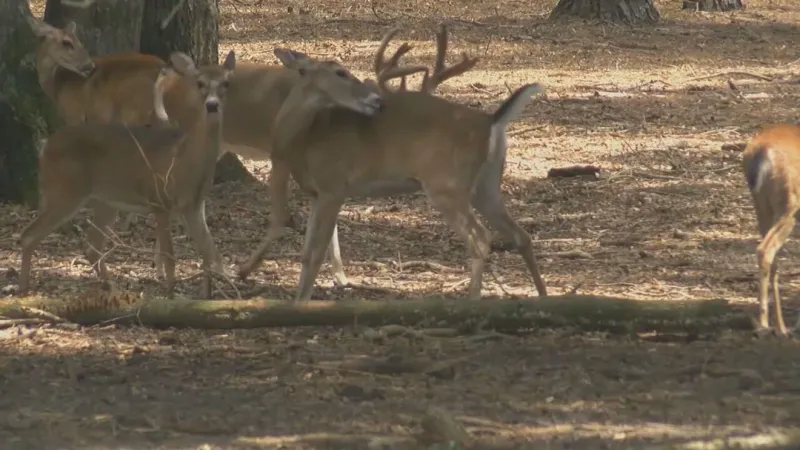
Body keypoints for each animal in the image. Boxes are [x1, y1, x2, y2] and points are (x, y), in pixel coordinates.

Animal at [18, 51, 237, 298]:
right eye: (200, 83)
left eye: (226, 83)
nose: (212, 105)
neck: (185, 161)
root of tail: (44, 148)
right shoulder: (159, 199)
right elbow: (170, 256)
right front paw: (170, 294)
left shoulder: (194, 207)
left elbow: (210, 251)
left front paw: (207, 295)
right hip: (65, 191)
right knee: (29, 234)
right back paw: (24, 288)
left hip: (104, 199)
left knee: (91, 245)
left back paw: (112, 288)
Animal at [246, 47, 548, 302]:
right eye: (341, 73)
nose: (377, 101)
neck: (304, 139)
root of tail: (491, 121)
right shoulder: (315, 194)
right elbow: (305, 253)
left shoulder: (335, 187)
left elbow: (317, 253)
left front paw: (302, 302)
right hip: (486, 184)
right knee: (521, 236)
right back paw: (543, 297)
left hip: (446, 184)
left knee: (481, 238)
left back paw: (473, 301)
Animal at [741, 123, 800, 337]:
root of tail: (763, 152)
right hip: (788, 206)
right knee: (765, 250)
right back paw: (765, 324)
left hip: (762, 205)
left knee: (772, 259)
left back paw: (779, 327)